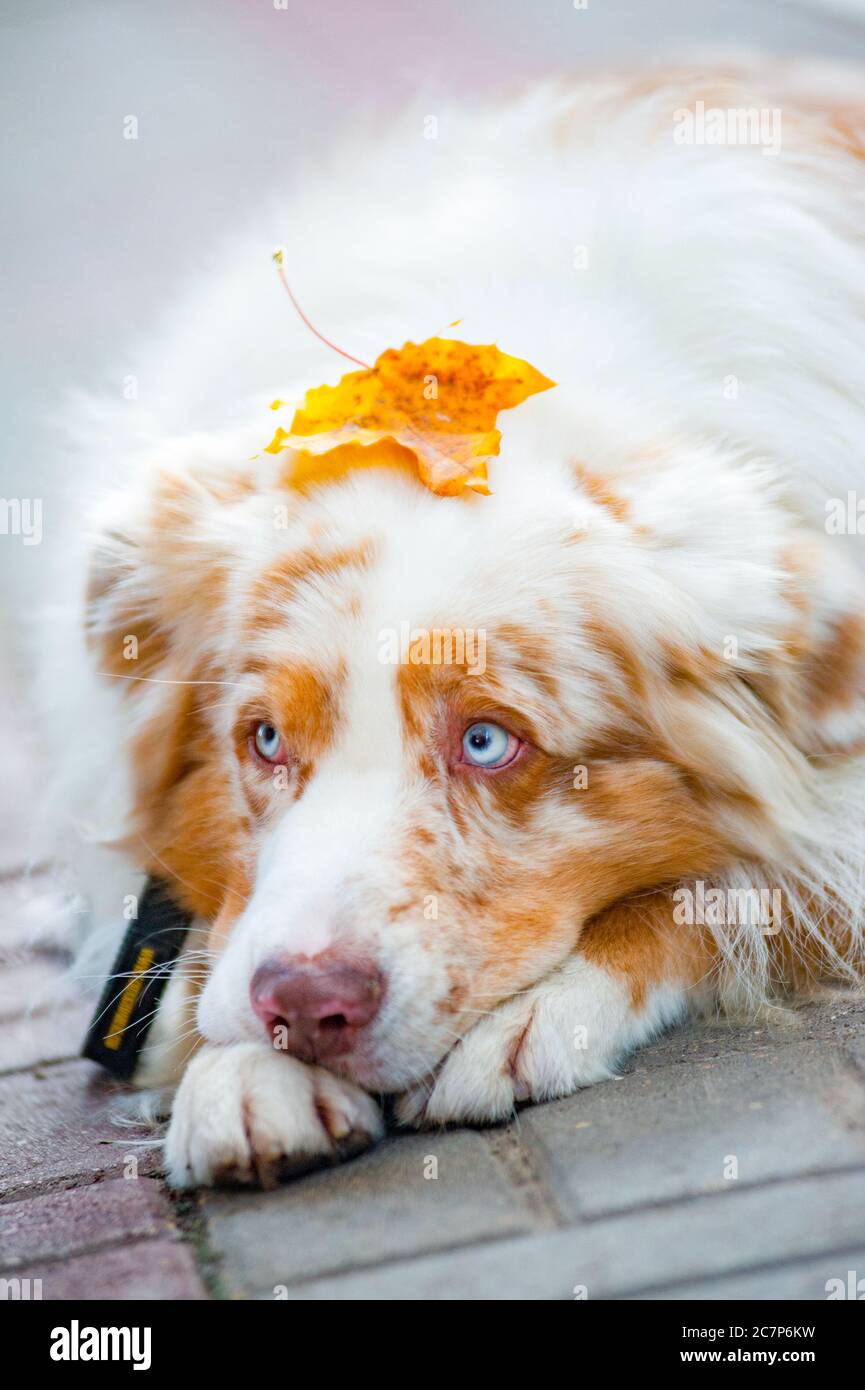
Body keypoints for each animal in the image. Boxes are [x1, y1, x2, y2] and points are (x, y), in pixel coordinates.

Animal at [37, 70, 865, 1189]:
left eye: (485, 740)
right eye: (263, 738)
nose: (304, 1008)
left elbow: (739, 888)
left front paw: (540, 1012)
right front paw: (236, 1071)